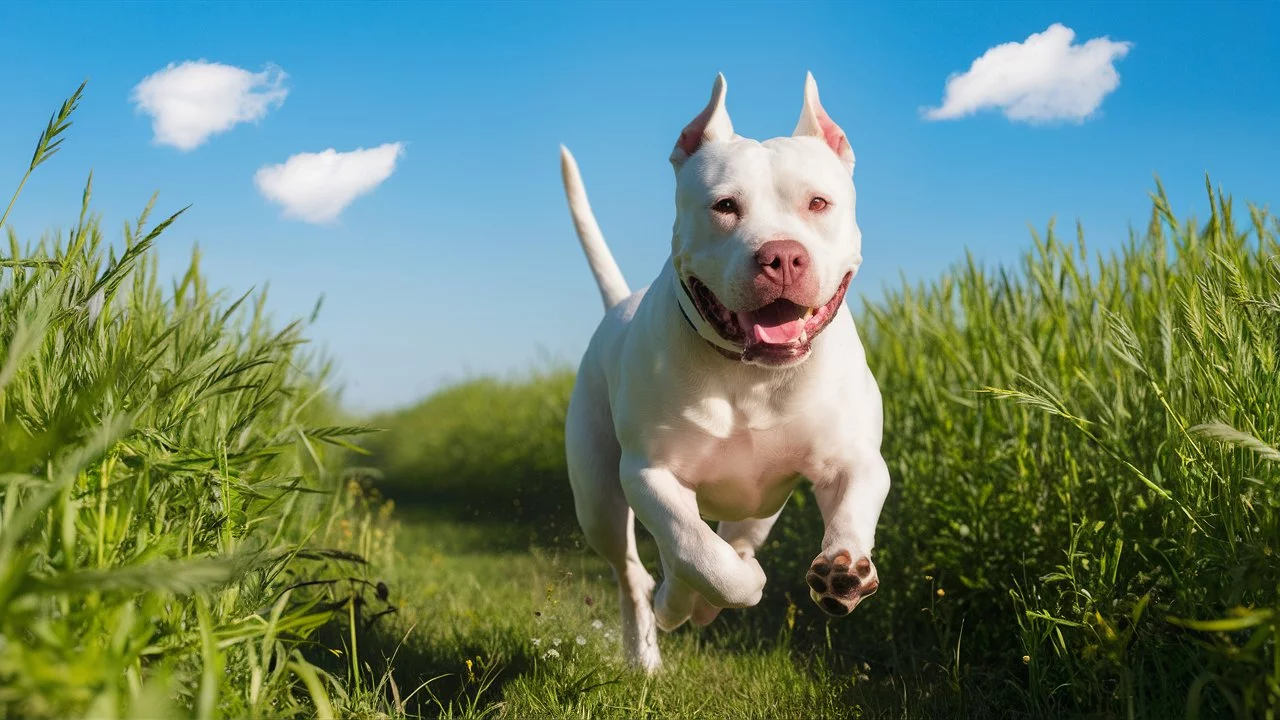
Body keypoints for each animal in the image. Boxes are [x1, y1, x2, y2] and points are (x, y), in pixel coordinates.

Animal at [560, 73, 890, 666]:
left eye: (818, 202)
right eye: (725, 205)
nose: (782, 256)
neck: (752, 374)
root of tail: (618, 305)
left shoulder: (854, 460)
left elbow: (852, 507)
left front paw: (844, 571)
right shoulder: (649, 474)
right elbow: (702, 555)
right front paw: (724, 589)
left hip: (757, 506)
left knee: (729, 538)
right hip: (597, 498)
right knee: (637, 573)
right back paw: (651, 645)